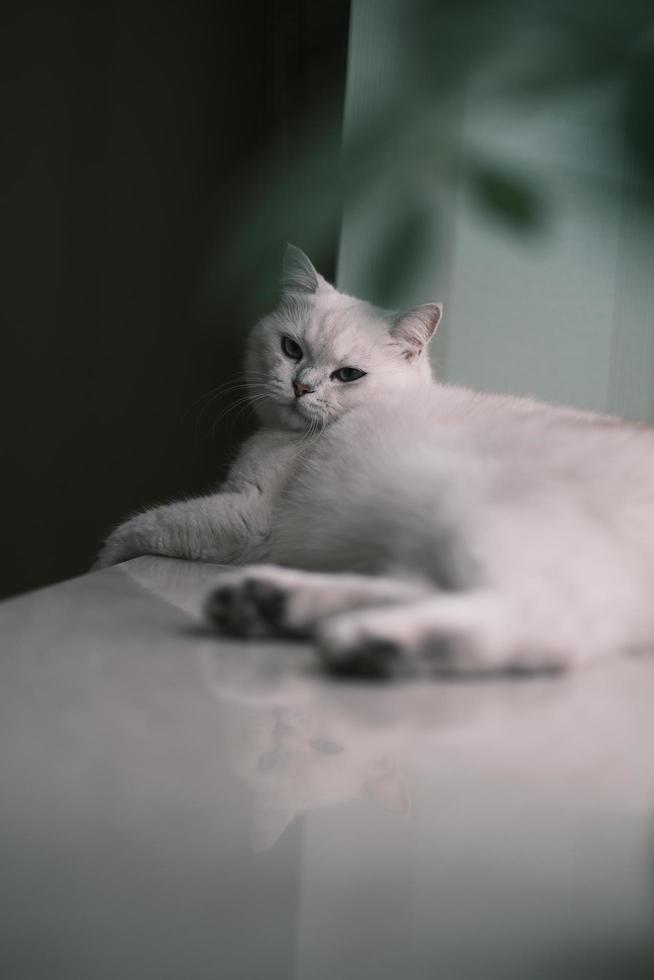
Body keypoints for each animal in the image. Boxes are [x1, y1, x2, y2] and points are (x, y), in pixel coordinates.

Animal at [95, 244, 654, 672]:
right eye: (291, 349)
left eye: (347, 375)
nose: (301, 386)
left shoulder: (247, 518)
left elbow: (140, 527)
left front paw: (103, 558)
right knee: (419, 588)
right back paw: (269, 604)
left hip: (479, 514)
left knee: (546, 621)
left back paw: (374, 641)